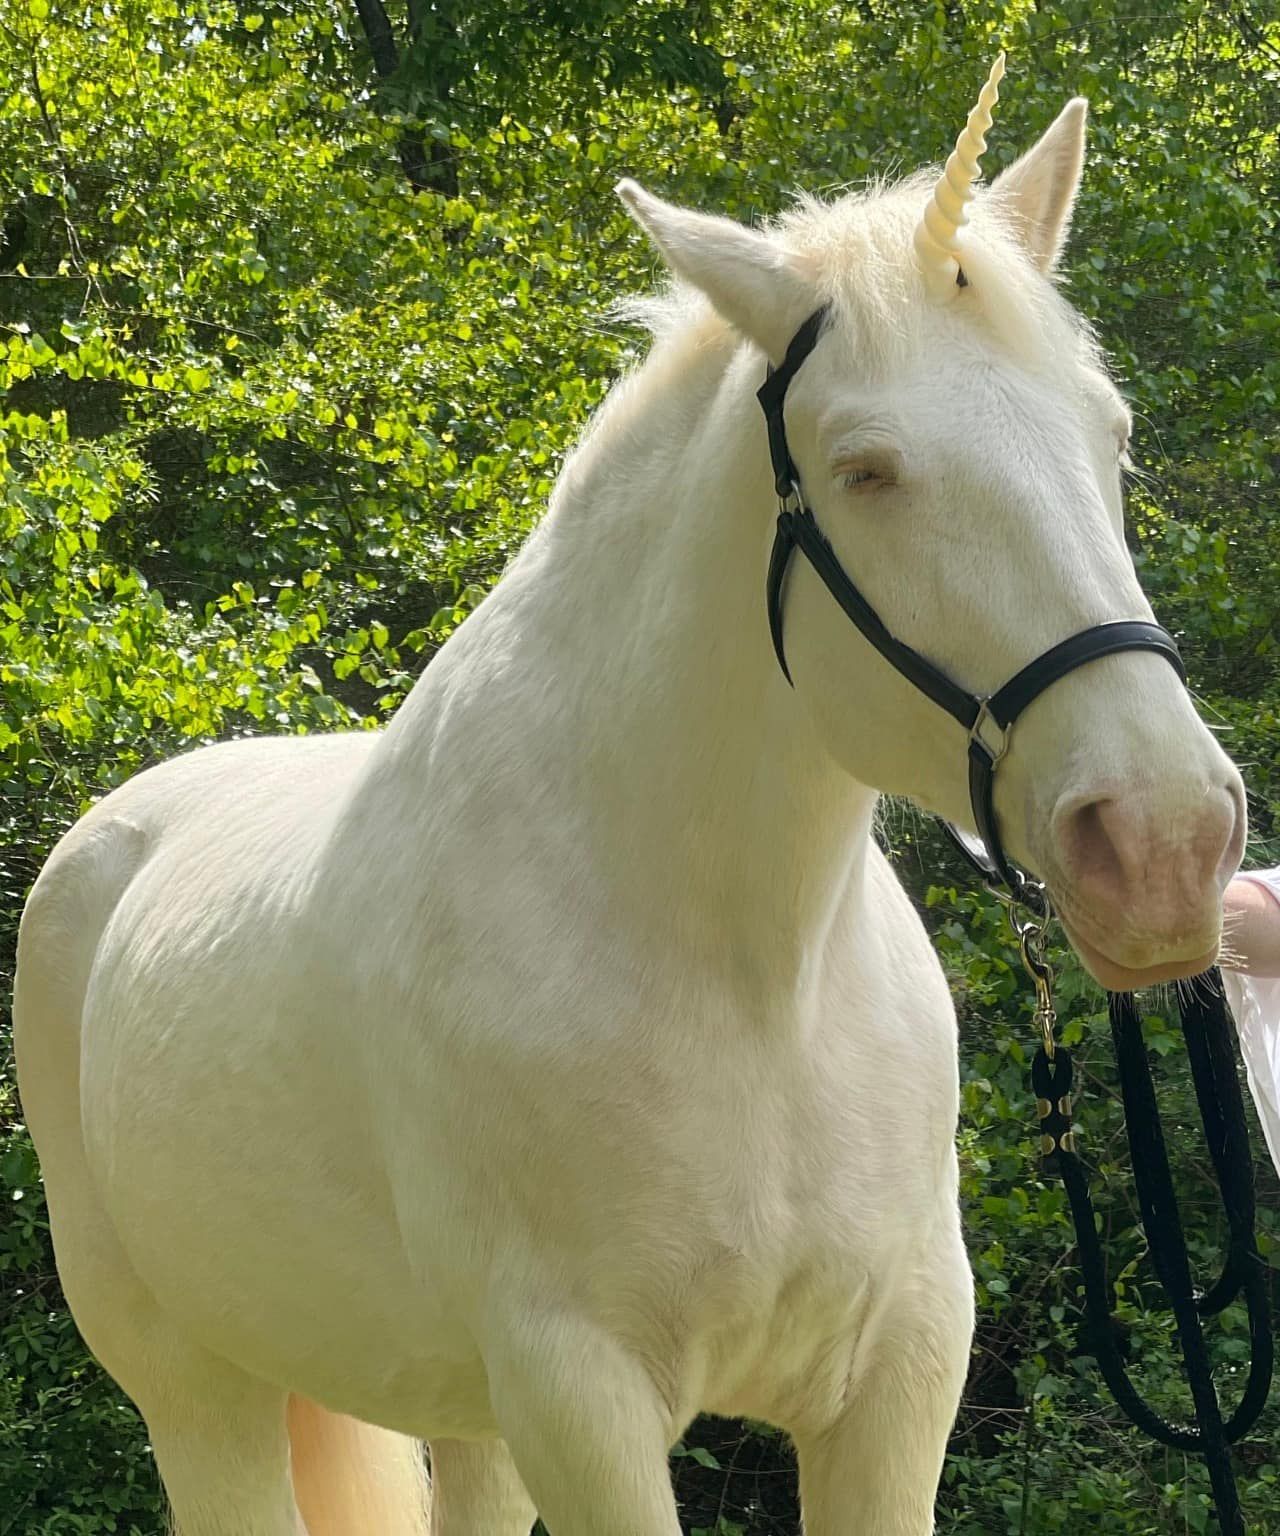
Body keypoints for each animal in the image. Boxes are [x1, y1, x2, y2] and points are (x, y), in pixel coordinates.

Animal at [14, 63, 1245, 1536]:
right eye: (864, 469)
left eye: (1107, 435)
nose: (1166, 843)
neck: (747, 981)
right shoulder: (582, 1397)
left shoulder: (898, 1374)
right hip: (202, 1387)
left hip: (457, 1410)